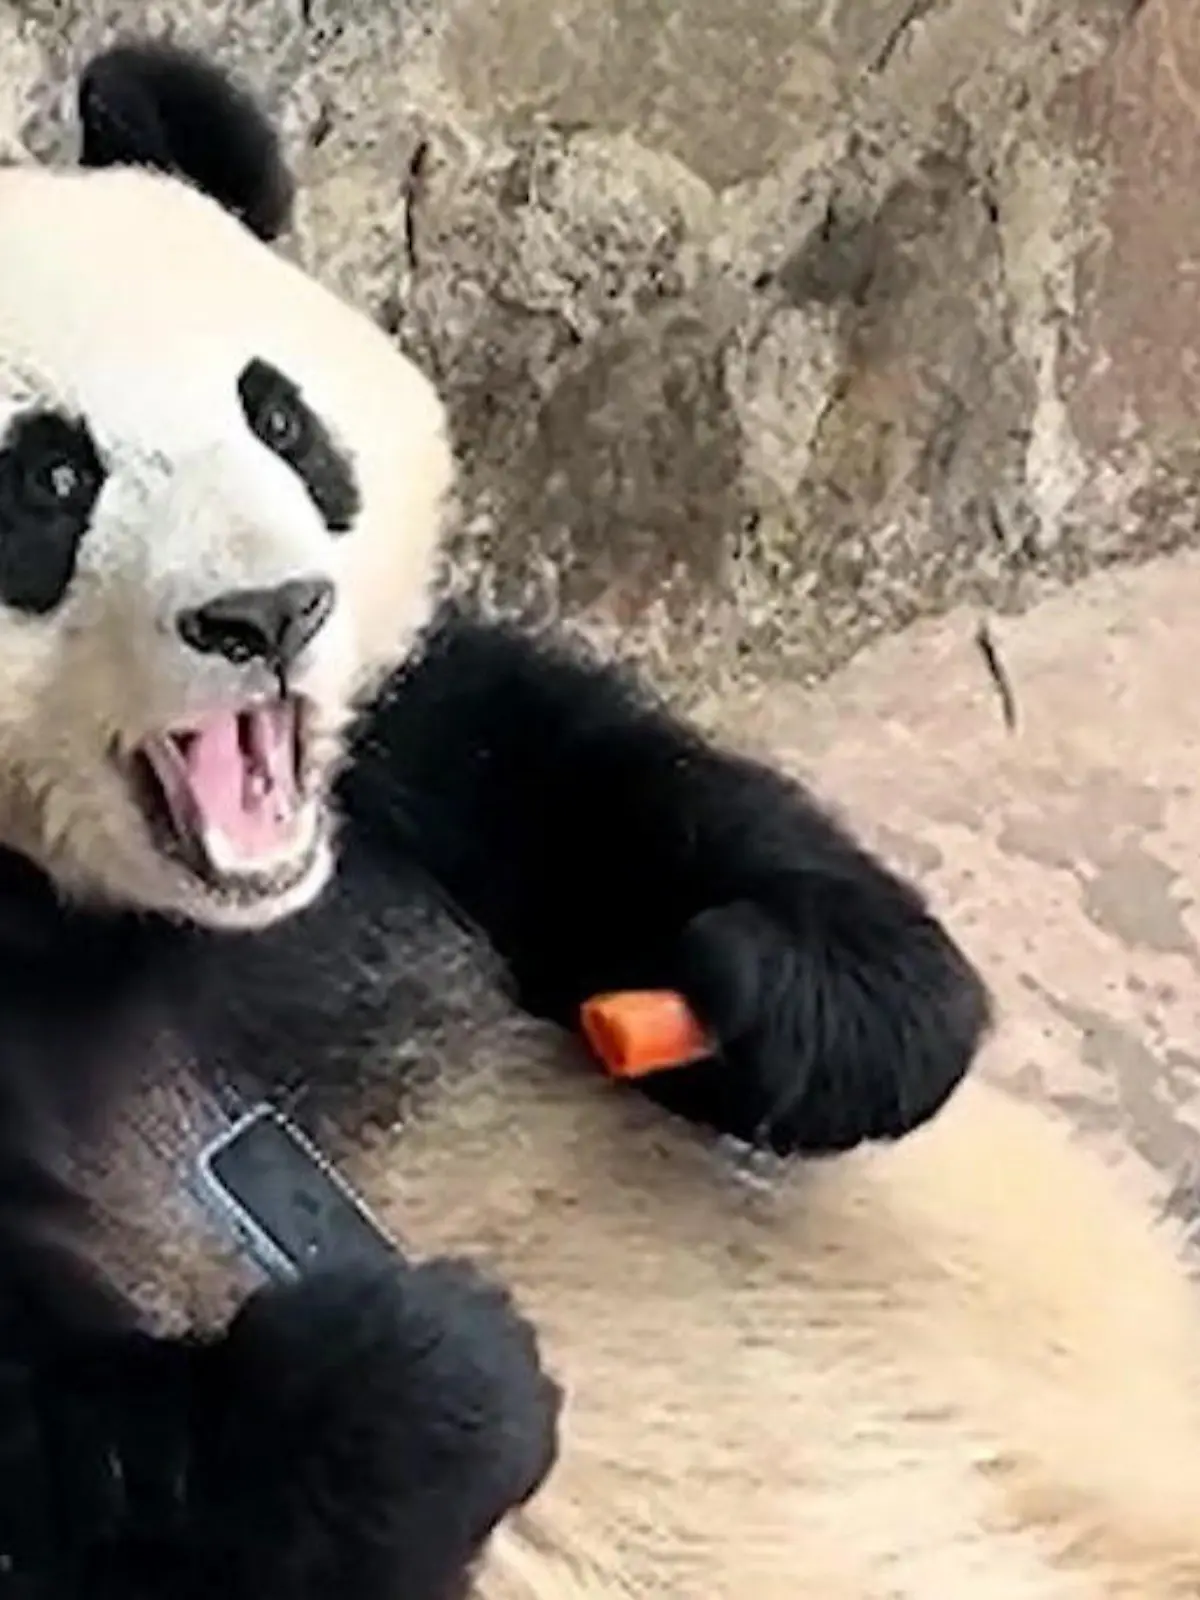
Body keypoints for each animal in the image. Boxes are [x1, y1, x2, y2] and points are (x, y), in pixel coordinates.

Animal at [1, 33, 1198, 1600]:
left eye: (278, 418)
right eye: (50, 476)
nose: (269, 614)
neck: (128, 917)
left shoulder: (403, 759)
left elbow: (589, 779)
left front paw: (799, 1000)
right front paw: (430, 1383)